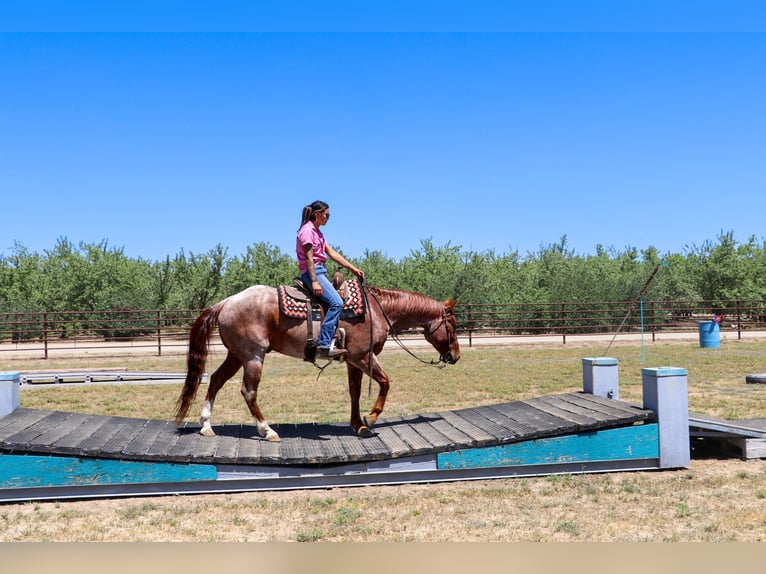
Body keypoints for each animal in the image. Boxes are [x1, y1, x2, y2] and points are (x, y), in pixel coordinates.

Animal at [176, 282, 460, 440]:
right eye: (453, 325)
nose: (455, 356)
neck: (376, 310)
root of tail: (226, 302)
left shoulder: (352, 360)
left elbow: (355, 391)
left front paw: (358, 425)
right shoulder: (363, 356)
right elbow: (385, 382)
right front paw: (371, 418)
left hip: (236, 355)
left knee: (215, 381)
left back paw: (206, 426)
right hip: (253, 356)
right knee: (248, 391)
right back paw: (267, 431)